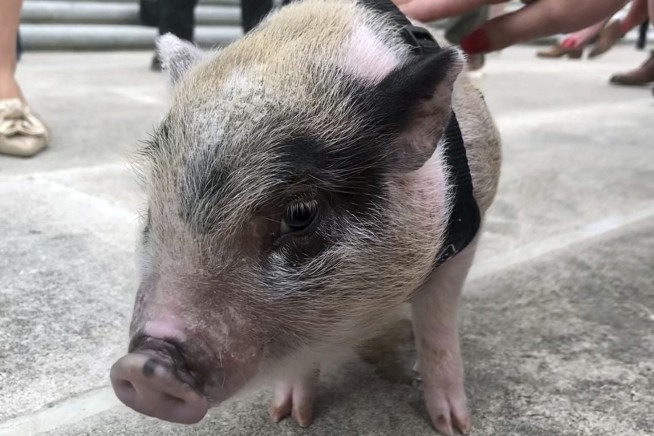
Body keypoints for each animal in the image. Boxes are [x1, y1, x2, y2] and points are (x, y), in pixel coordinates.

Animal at [109, 1, 501, 435]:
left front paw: (453, 426)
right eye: (151, 210)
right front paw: (288, 416)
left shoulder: (466, 235)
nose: (143, 367)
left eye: (300, 215)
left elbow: (437, 325)